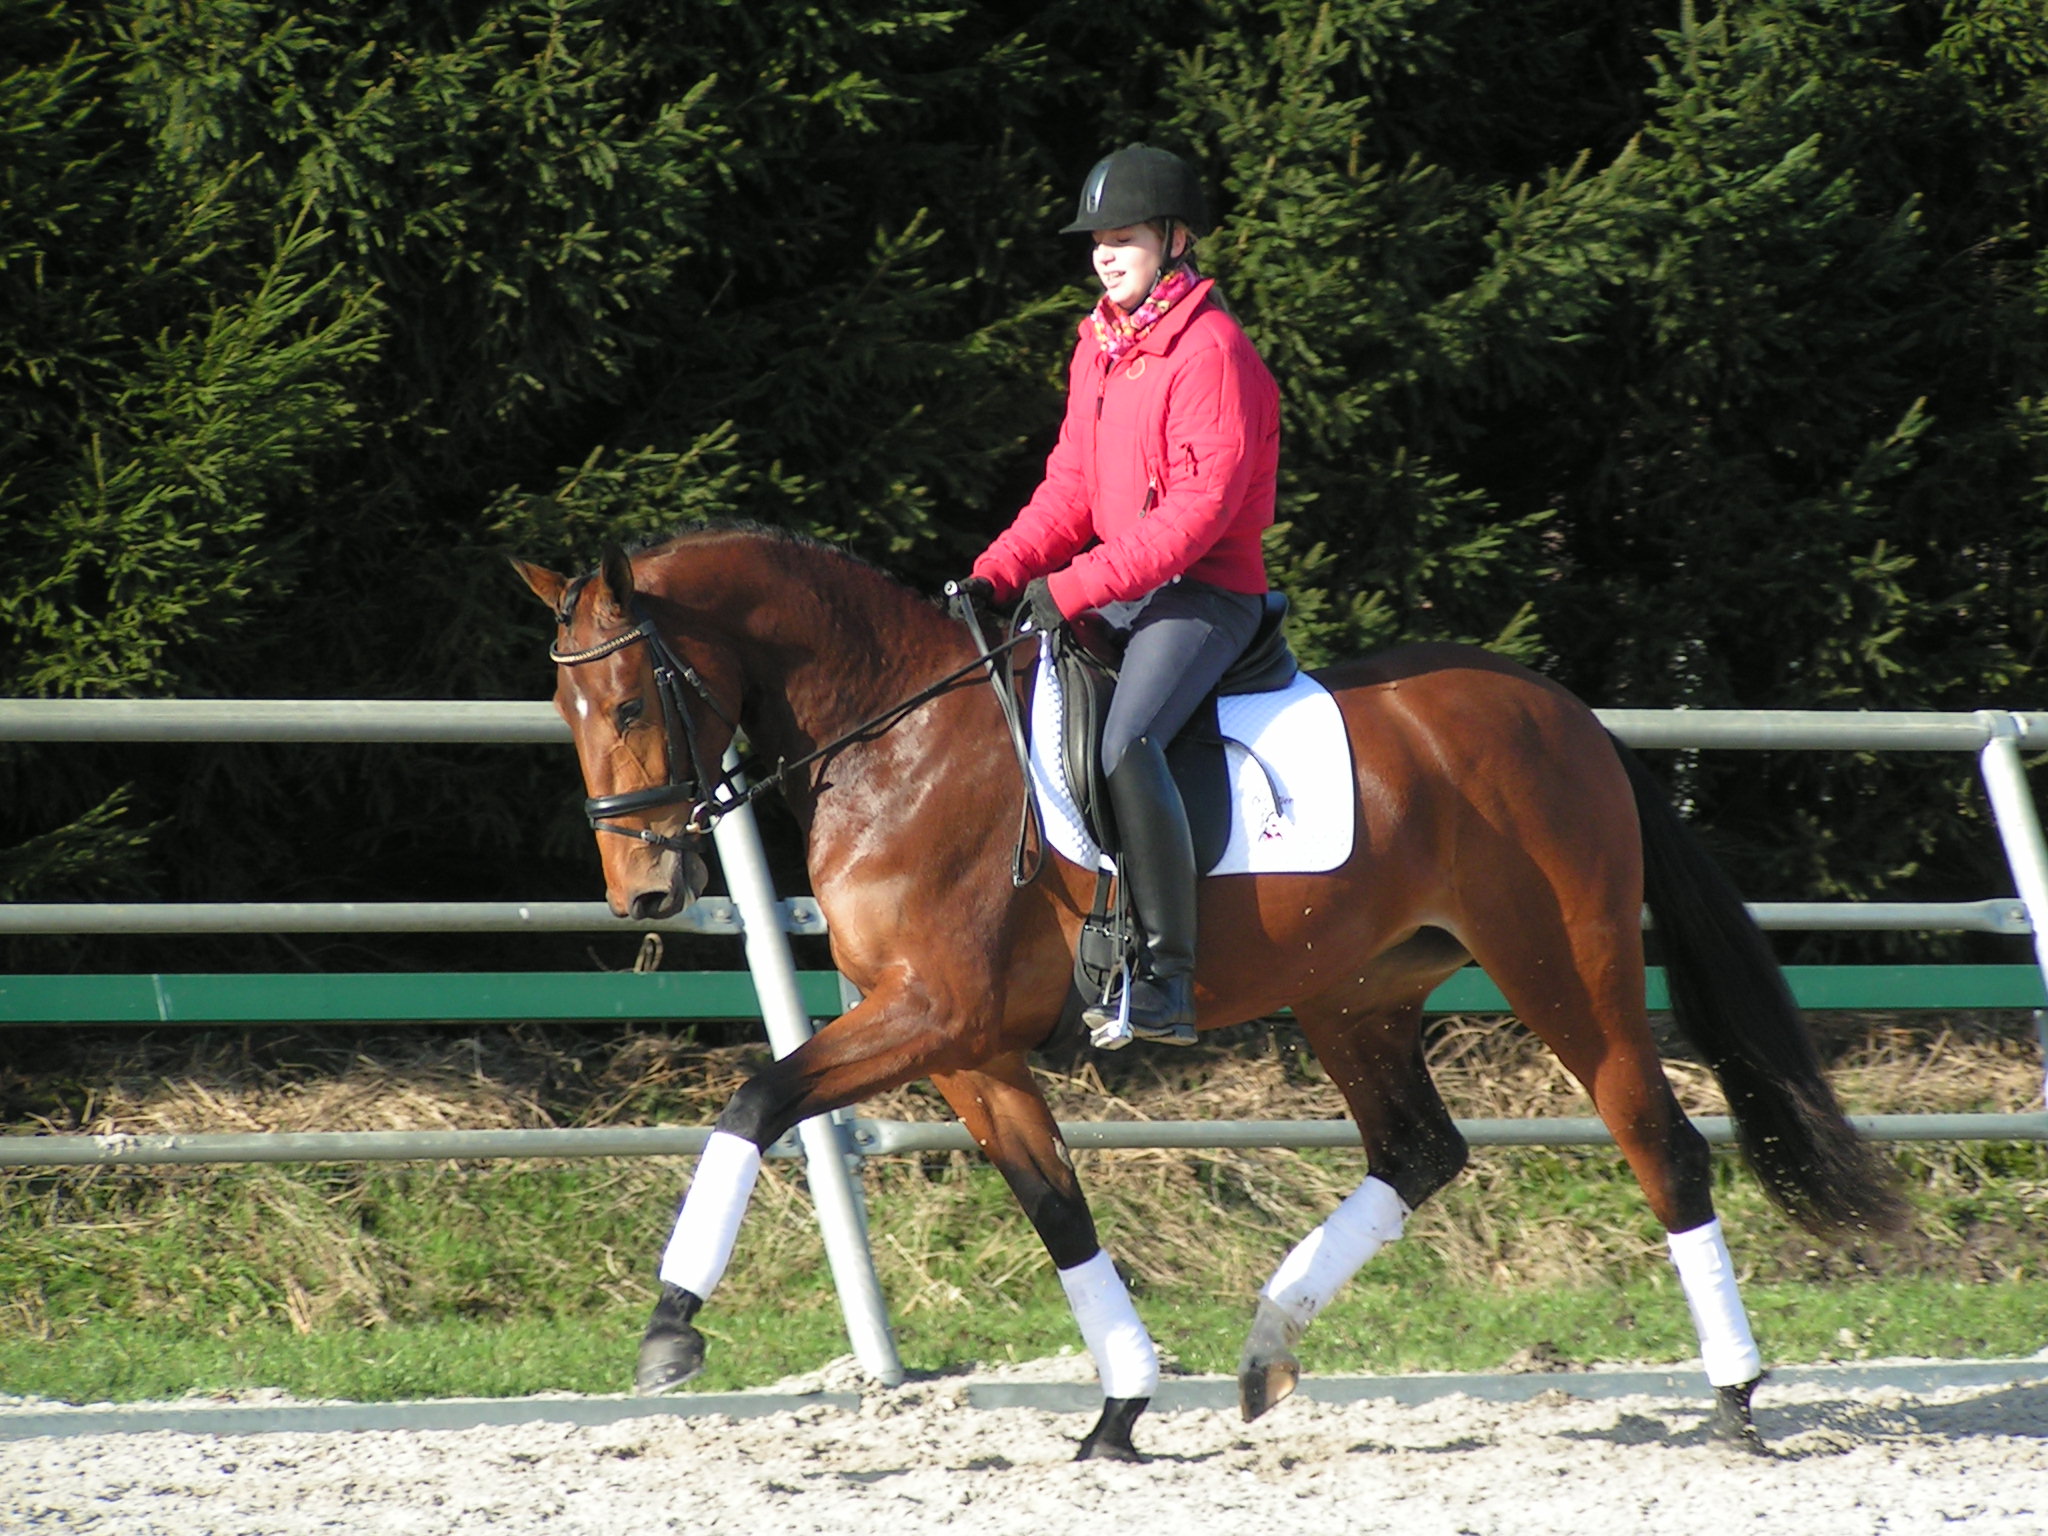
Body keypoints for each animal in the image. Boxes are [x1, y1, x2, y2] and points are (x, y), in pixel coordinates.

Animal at [512, 524, 1900, 1458]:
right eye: (563, 708)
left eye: (628, 702)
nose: (641, 893)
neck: (893, 740)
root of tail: (1560, 709)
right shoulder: (968, 1051)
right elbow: (1055, 1208)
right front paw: (1119, 1408)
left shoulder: (930, 1019)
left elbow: (753, 1102)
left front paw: (670, 1327)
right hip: (1353, 995)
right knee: (1417, 1150)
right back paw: (1265, 1347)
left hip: (1560, 965)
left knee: (1658, 1141)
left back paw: (1733, 1398)